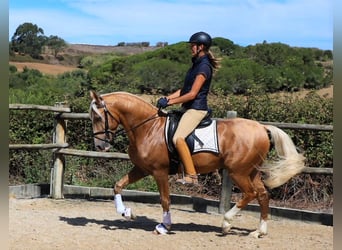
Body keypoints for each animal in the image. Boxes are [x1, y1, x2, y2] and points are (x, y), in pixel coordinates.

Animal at [89, 90, 306, 238]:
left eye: (98, 117)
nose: (99, 146)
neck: (148, 128)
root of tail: (262, 127)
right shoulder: (142, 169)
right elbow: (118, 185)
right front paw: (126, 212)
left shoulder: (159, 172)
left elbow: (165, 200)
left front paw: (164, 226)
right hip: (251, 171)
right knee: (262, 195)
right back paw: (259, 231)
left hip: (238, 172)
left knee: (250, 193)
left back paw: (226, 223)